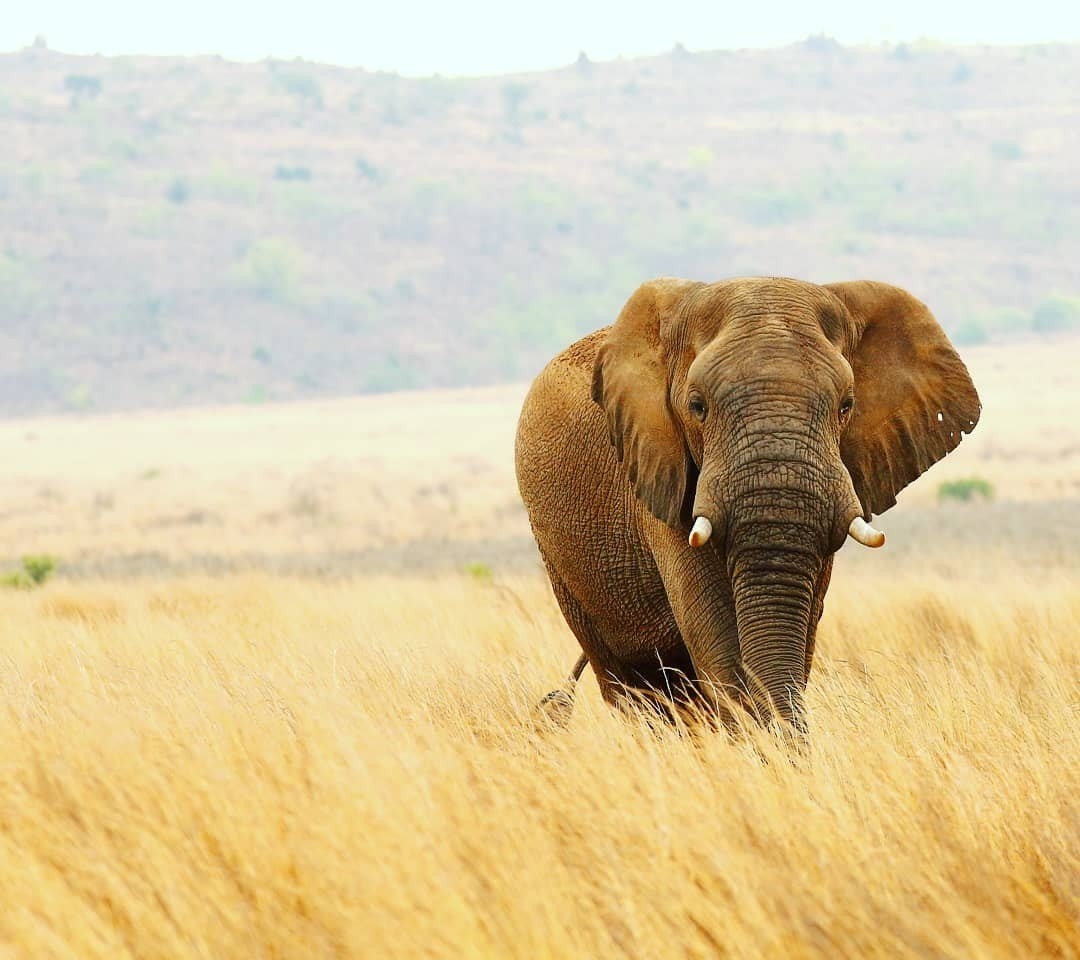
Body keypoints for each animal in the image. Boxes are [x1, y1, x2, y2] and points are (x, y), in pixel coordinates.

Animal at [514, 276, 980, 734]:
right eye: (697, 406)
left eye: (846, 405)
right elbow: (720, 636)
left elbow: (800, 628)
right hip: (562, 561)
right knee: (630, 683)